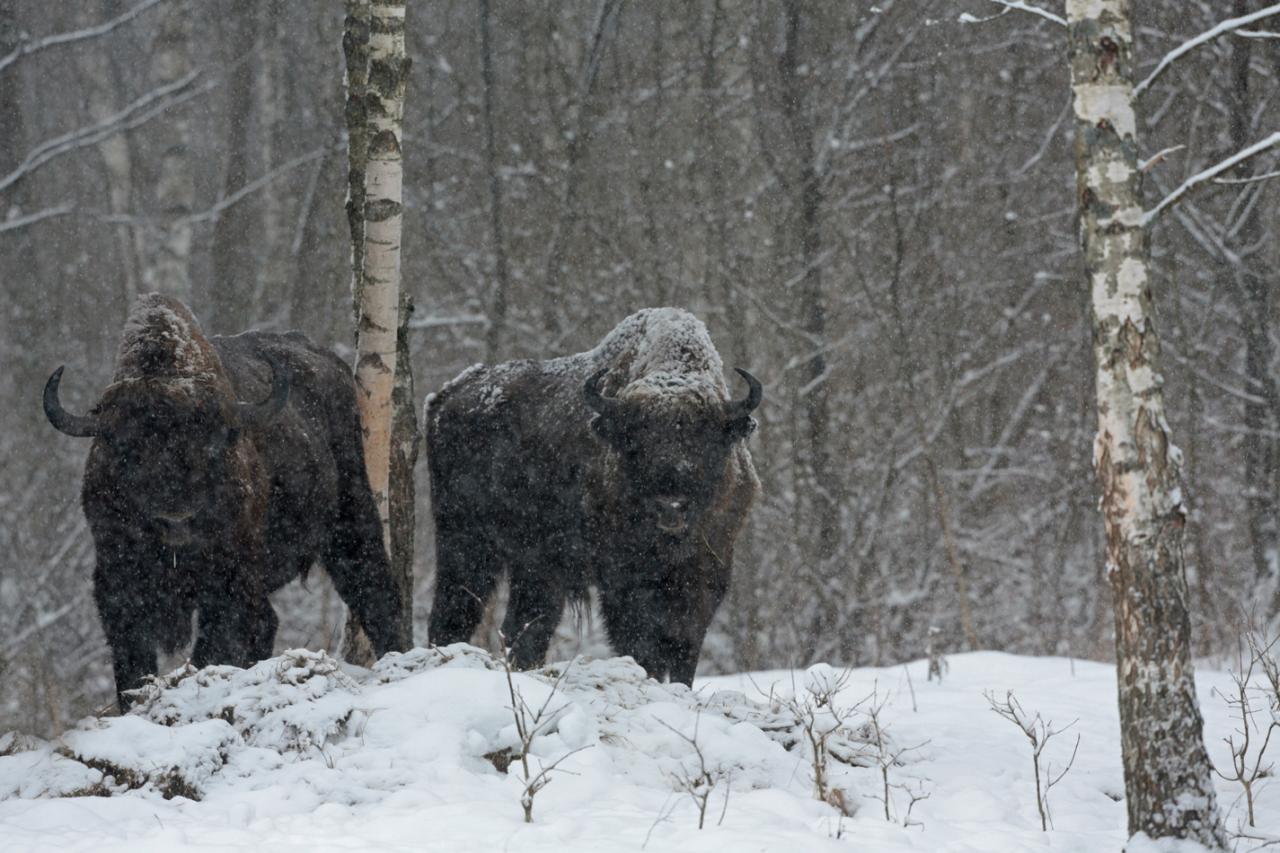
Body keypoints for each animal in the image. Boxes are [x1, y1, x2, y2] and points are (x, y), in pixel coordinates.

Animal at [45, 292, 407, 701]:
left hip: (351, 518)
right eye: (125, 449)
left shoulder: (227, 584)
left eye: (213, 444)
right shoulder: (117, 583)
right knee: (272, 621)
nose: (176, 520)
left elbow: (212, 646)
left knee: (375, 590)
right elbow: (133, 661)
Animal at [427, 306, 757, 686]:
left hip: (532, 565)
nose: (670, 506)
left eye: (704, 438)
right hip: (465, 544)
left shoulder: (708, 572)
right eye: (636, 439)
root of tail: (446, 396)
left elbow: (684, 643)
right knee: (456, 611)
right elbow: (640, 640)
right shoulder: (622, 580)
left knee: (525, 626)